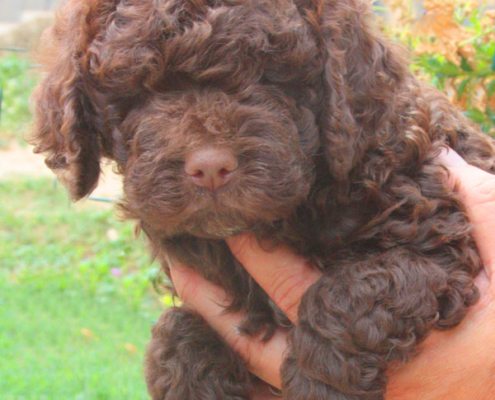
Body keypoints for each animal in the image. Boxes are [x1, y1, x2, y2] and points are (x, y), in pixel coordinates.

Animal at [30, 0, 495, 400]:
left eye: (271, 79)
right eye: (139, 92)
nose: (210, 166)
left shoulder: (434, 235)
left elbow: (353, 289)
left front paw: (319, 380)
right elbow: (174, 328)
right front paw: (193, 371)